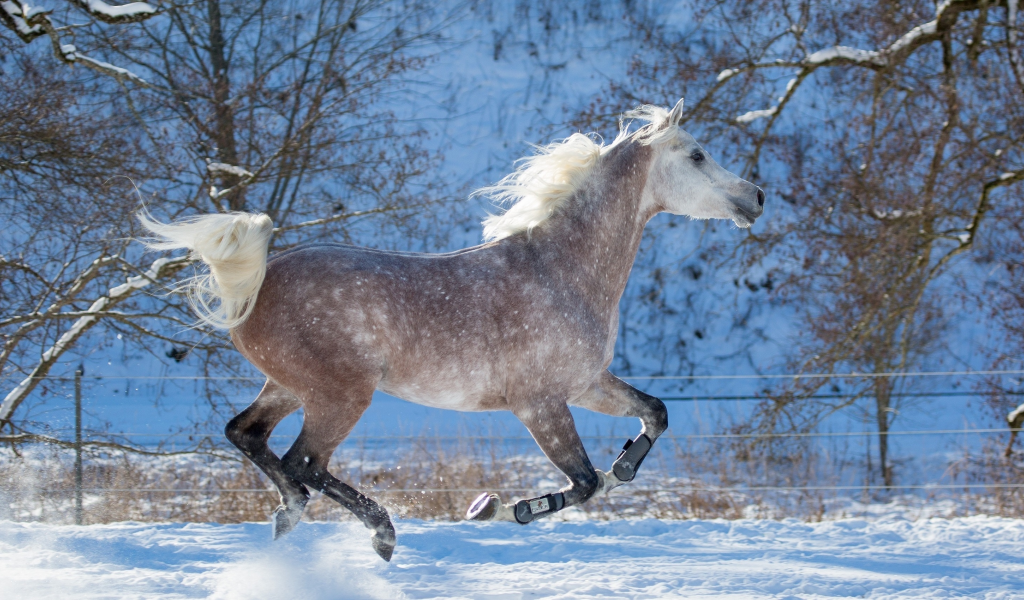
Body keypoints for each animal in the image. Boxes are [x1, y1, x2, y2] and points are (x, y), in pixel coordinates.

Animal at [138, 100, 761, 556]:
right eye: (698, 155)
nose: (756, 196)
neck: (560, 269)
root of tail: (257, 280)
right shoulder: (539, 403)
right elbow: (583, 482)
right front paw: (505, 509)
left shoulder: (586, 385)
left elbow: (654, 414)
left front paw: (623, 466)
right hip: (340, 394)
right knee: (304, 463)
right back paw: (380, 533)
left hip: (290, 386)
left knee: (248, 435)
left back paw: (291, 520)